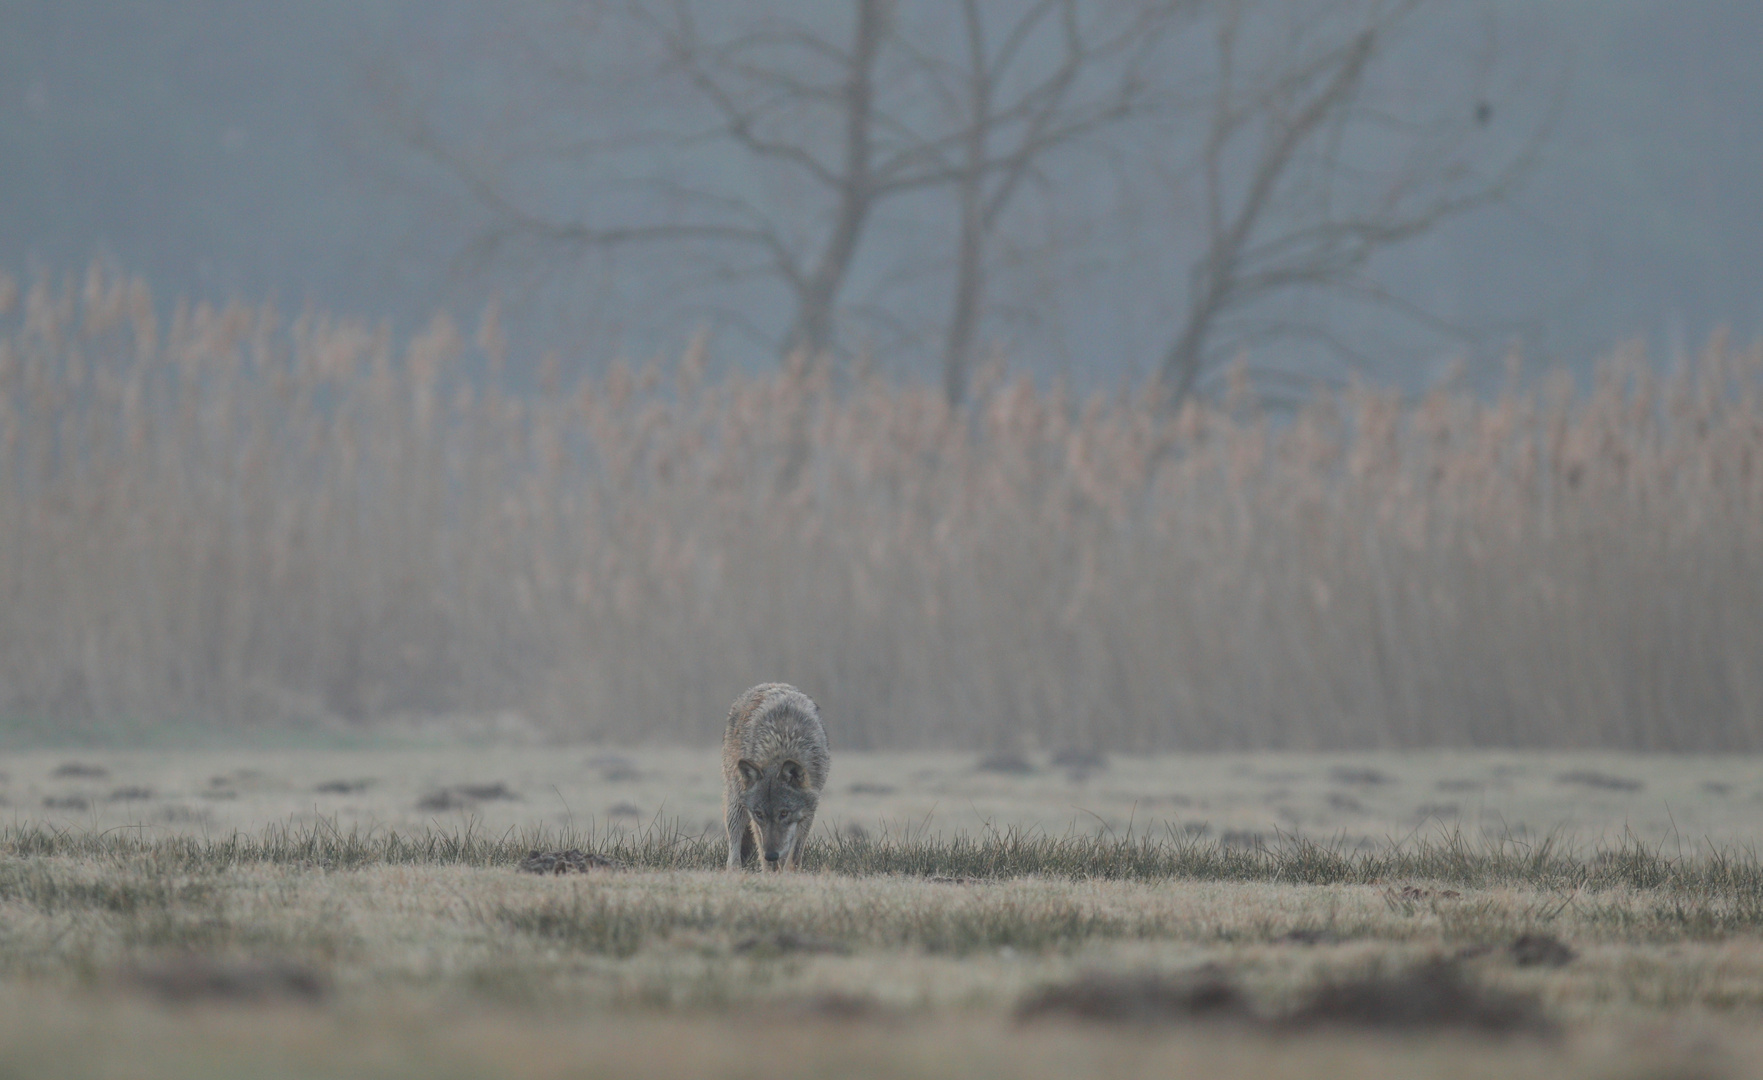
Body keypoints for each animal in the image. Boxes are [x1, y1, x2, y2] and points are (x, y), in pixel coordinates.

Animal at [719, 683, 828, 866]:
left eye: (784, 813)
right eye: (759, 814)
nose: (771, 855)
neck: (783, 742)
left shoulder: (807, 813)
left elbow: (793, 858)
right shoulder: (755, 820)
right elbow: (768, 861)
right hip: (736, 806)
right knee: (733, 858)